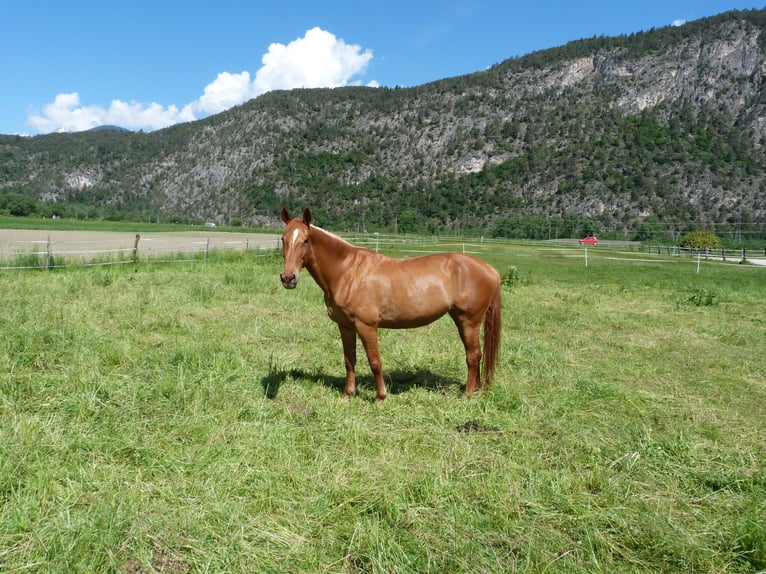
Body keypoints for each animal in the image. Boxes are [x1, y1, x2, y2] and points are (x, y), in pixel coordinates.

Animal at [280, 209, 500, 402]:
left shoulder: (366, 326)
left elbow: (375, 362)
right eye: (283, 239)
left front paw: (380, 397)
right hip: (460, 320)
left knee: (473, 356)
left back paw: (467, 396)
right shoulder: (346, 326)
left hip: (469, 322)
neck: (348, 272)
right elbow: (349, 360)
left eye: (306, 240)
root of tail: (491, 270)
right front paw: (347, 395)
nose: (288, 278)